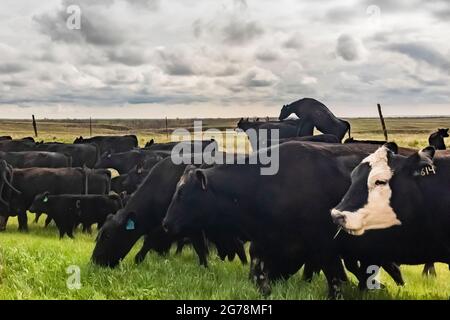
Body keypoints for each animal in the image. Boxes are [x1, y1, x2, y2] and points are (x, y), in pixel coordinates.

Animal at [163, 142, 414, 298]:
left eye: (182, 193)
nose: (166, 223)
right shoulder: (265, 242)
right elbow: (258, 270)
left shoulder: (324, 246)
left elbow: (334, 276)